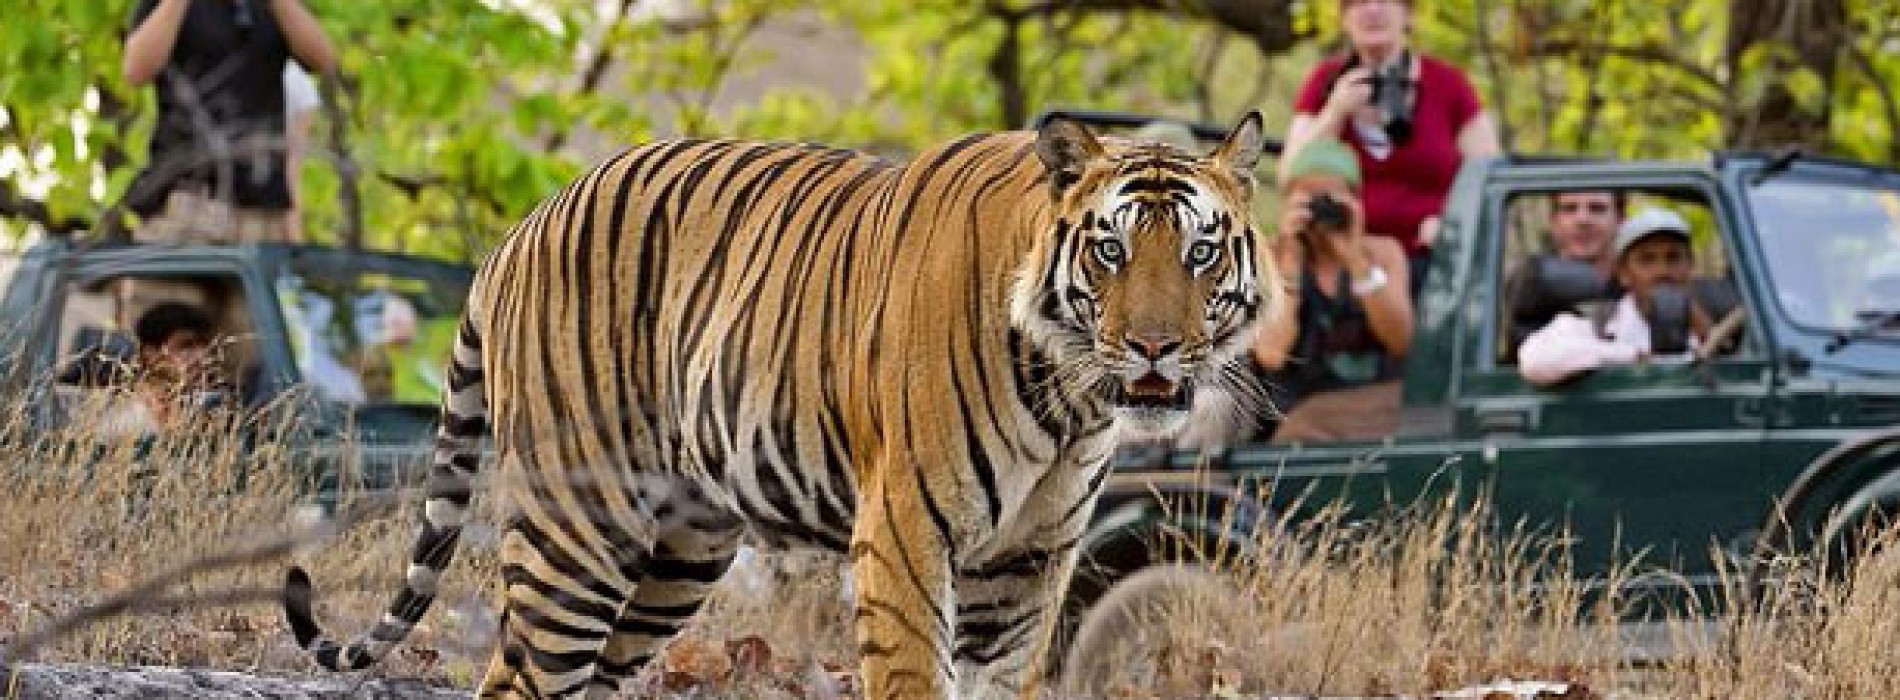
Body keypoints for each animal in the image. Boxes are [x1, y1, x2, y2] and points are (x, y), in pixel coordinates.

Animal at [281, 112, 1284, 696]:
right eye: (1112, 250)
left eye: (1198, 252)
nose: (1154, 346)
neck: (1069, 404)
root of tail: (519, 229)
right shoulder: (906, 533)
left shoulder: (1026, 567)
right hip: (581, 520)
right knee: (523, 676)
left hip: (680, 552)